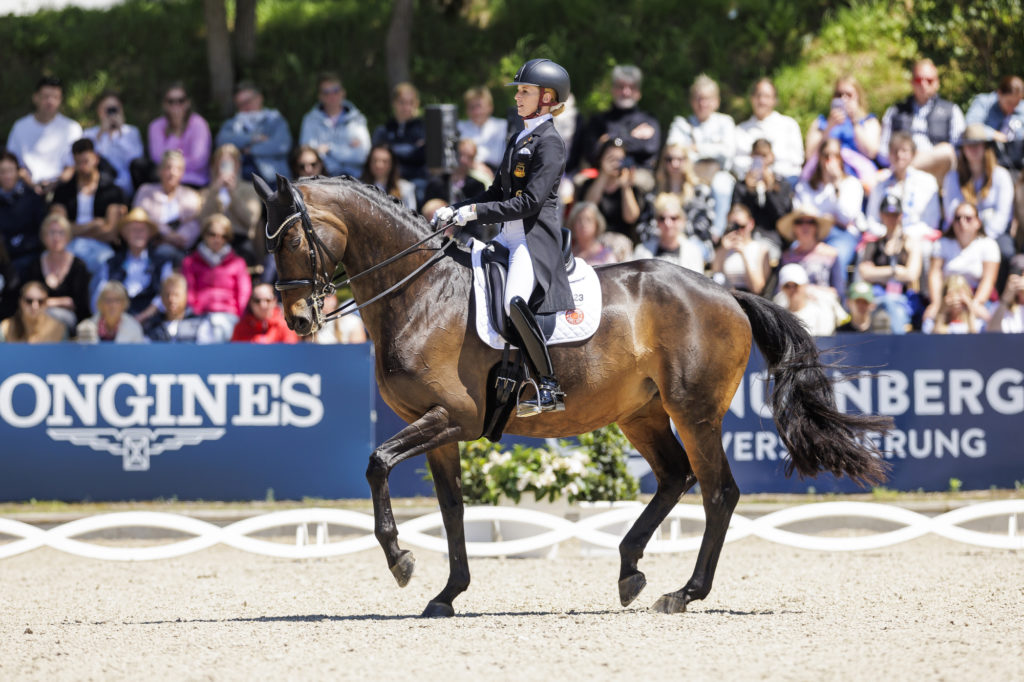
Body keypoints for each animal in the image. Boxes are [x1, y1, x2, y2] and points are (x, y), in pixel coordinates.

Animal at [251, 174, 892, 614]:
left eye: (291, 240)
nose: (298, 319)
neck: (422, 293)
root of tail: (724, 291)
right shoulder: (440, 427)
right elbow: (453, 508)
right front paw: (448, 593)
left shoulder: (452, 416)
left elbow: (377, 463)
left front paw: (401, 562)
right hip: (642, 414)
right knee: (675, 478)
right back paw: (630, 570)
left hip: (695, 412)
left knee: (718, 493)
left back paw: (684, 593)